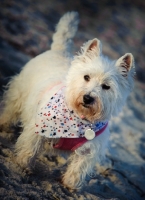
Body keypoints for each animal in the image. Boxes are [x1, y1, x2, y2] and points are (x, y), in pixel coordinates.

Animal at [0, 11, 135, 189]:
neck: (79, 117)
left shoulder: (90, 149)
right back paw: (4, 125)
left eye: (106, 86)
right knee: (11, 109)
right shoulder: (38, 128)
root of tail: (58, 50)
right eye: (86, 77)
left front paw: (69, 185)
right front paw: (23, 165)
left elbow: (78, 169)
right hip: (19, 92)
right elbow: (30, 148)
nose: (87, 98)